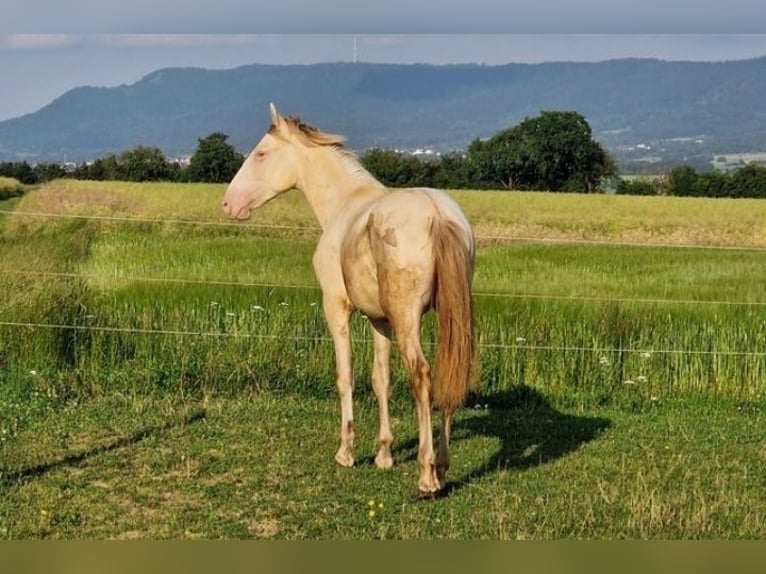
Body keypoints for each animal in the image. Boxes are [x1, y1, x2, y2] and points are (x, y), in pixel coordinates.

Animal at [220, 102, 474, 496]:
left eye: (261, 153)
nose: (229, 204)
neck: (345, 205)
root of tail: (437, 214)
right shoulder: (380, 321)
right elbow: (380, 379)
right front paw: (384, 454)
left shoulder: (337, 308)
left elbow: (346, 374)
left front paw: (346, 452)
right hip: (447, 320)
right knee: (449, 374)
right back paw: (443, 468)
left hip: (409, 320)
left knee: (422, 375)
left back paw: (427, 474)